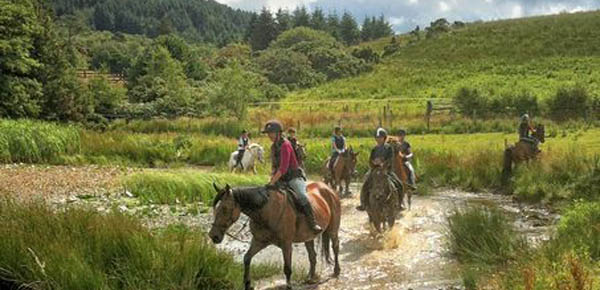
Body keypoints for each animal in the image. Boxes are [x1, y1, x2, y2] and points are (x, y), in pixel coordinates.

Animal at [209, 181, 340, 290]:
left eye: (225, 208)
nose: (213, 235)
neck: (266, 211)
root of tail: (328, 188)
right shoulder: (259, 241)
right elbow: (247, 258)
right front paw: (247, 284)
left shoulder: (286, 244)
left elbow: (287, 268)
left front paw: (289, 287)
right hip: (308, 237)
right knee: (312, 256)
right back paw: (310, 278)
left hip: (333, 230)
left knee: (335, 247)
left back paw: (336, 271)